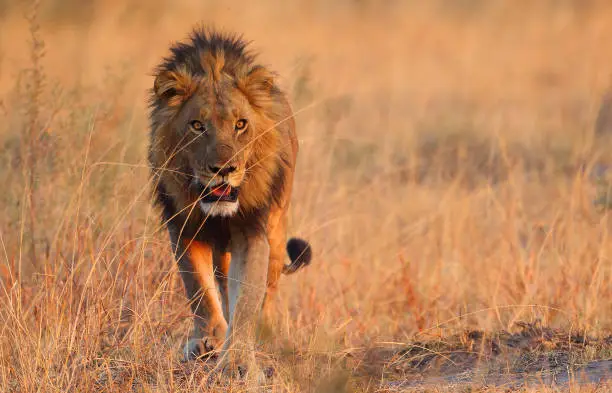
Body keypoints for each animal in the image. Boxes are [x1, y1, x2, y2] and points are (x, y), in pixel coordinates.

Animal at [147, 28, 310, 374]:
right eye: (197, 126)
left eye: (241, 124)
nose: (223, 170)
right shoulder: (182, 228)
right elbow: (198, 289)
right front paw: (207, 340)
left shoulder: (252, 230)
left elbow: (247, 297)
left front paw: (237, 358)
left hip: (277, 231)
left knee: (269, 288)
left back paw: (265, 332)